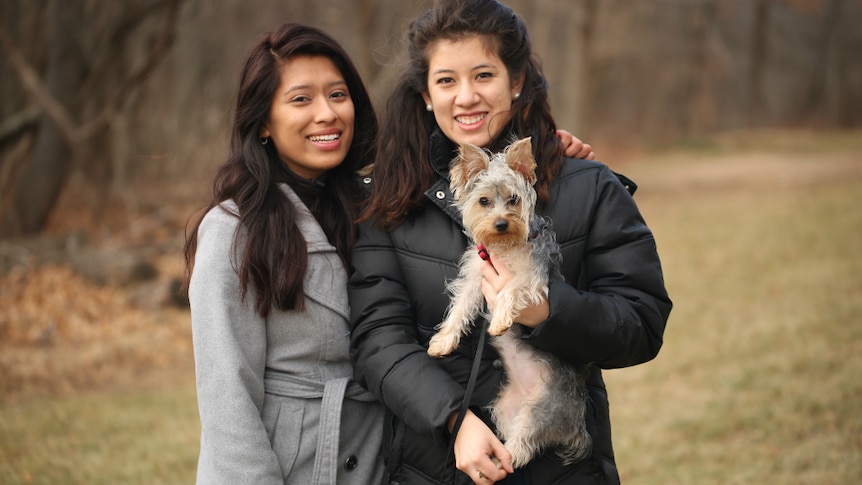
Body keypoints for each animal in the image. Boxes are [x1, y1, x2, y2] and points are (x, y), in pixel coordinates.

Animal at [426, 137, 592, 468]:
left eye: (514, 199)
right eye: (484, 201)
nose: (501, 223)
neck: (505, 246)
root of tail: (575, 423)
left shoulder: (533, 277)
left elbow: (511, 288)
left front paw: (501, 320)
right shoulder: (477, 277)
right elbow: (460, 308)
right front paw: (443, 341)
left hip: (543, 411)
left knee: (522, 447)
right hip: (504, 407)